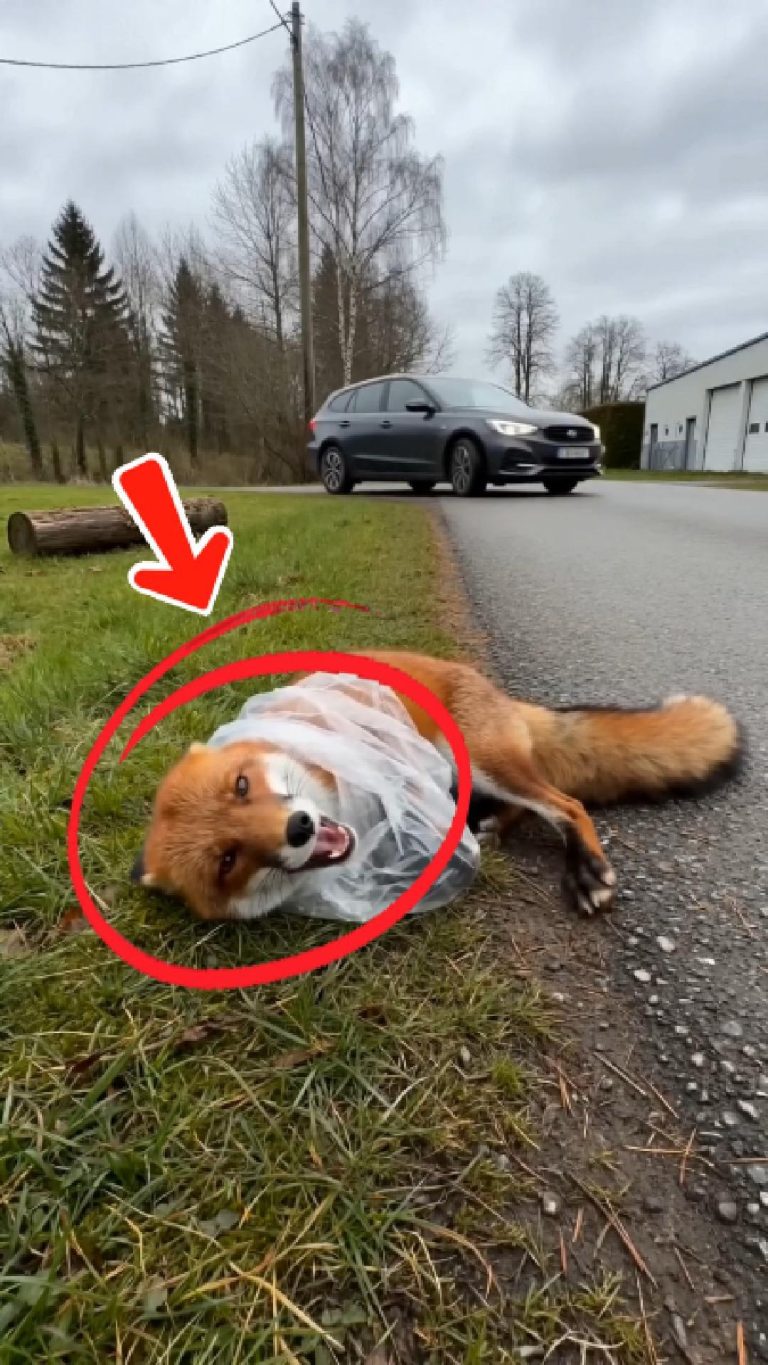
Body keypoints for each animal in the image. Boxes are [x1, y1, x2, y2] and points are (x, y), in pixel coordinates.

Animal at [131, 650, 742, 923]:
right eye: (227, 861)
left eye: (241, 785)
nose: (298, 828)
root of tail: (497, 691)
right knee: (539, 803)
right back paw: (498, 827)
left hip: (482, 760)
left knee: (566, 803)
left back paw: (586, 868)